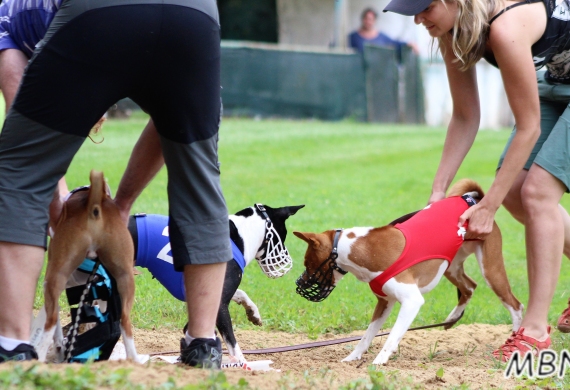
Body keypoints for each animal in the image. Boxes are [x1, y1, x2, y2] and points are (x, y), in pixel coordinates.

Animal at [35, 171, 138, 362]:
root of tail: (94, 203)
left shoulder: (50, 281)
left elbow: (56, 319)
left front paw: (59, 345)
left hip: (55, 275)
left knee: (50, 321)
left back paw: (38, 356)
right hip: (125, 277)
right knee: (125, 322)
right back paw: (134, 360)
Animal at [296, 180, 520, 366]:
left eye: (307, 263)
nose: (299, 283)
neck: (367, 249)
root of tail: (471, 200)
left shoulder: (411, 301)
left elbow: (392, 335)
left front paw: (379, 361)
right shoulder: (384, 302)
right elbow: (367, 335)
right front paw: (353, 357)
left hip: (491, 271)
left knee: (515, 305)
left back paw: (515, 341)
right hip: (450, 266)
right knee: (469, 287)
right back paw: (452, 318)